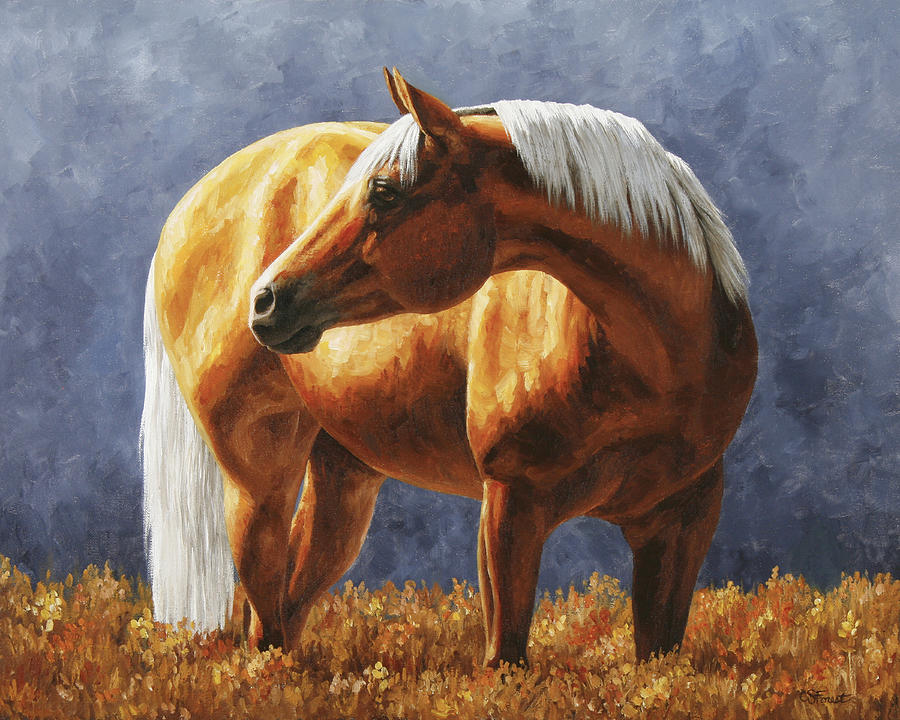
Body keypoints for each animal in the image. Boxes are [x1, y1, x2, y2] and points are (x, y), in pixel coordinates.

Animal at [142, 68, 757, 667]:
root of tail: (189, 205)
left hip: (343, 475)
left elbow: (659, 655)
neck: (654, 362)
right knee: (264, 602)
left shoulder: (682, 523)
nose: (266, 301)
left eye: (384, 191)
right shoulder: (510, 507)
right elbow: (506, 654)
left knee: (288, 600)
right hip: (259, 478)